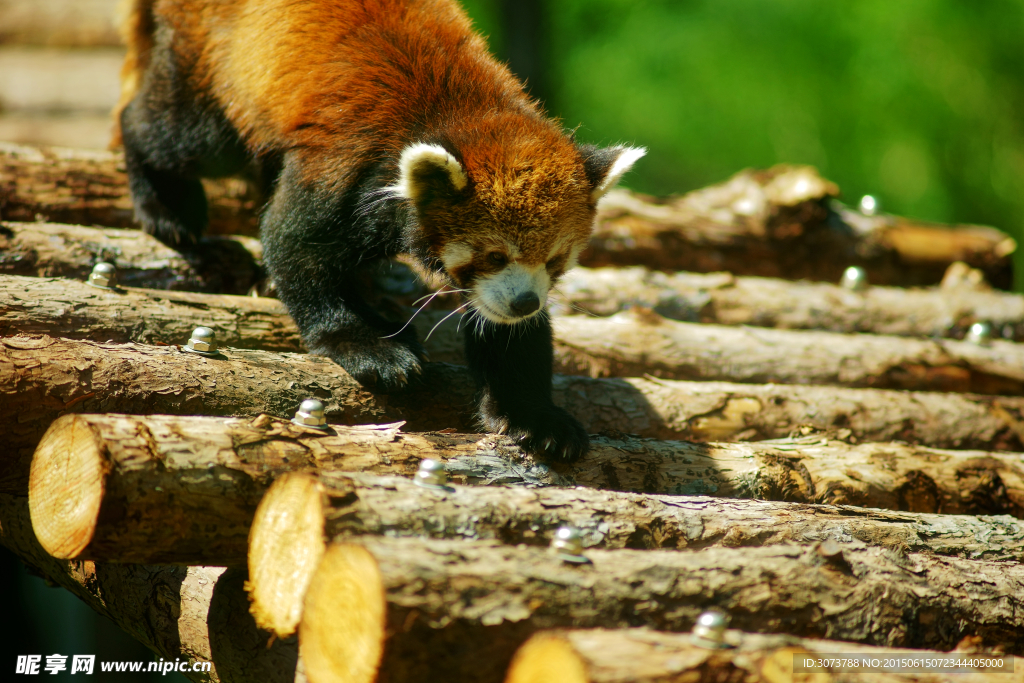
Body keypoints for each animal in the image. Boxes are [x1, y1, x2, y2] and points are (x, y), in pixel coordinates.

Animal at [116, 0, 643, 462]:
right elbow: (295, 244)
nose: (525, 302)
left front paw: (535, 416)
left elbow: (503, 332)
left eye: (554, 262)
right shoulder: (347, 165)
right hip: (216, 72)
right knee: (176, 136)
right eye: (495, 255)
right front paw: (368, 347)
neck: (460, 115)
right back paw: (167, 207)